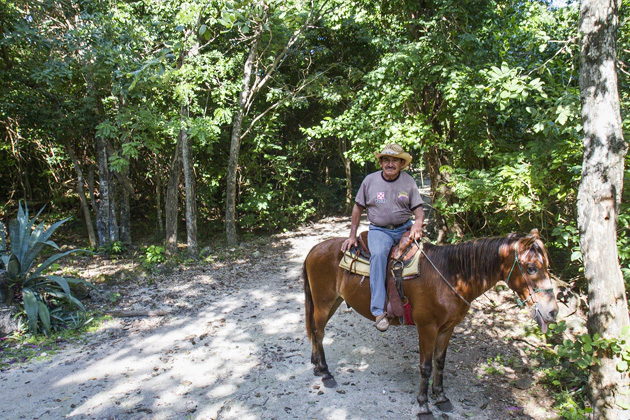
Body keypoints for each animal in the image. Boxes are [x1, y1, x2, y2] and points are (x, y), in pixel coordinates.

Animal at [304, 228, 556, 418]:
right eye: (531, 268)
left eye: (547, 266)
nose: (552, 311)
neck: (450, 275)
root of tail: (314, 249)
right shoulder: (427, 328)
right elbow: (425, 366)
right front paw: (424, 405)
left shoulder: (447, 328)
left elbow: (440, 362)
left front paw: (441, 397)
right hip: (324, 301)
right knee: (318, 332)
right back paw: (326, 373)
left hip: (333, 301)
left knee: (316, 331)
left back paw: (316, 365)